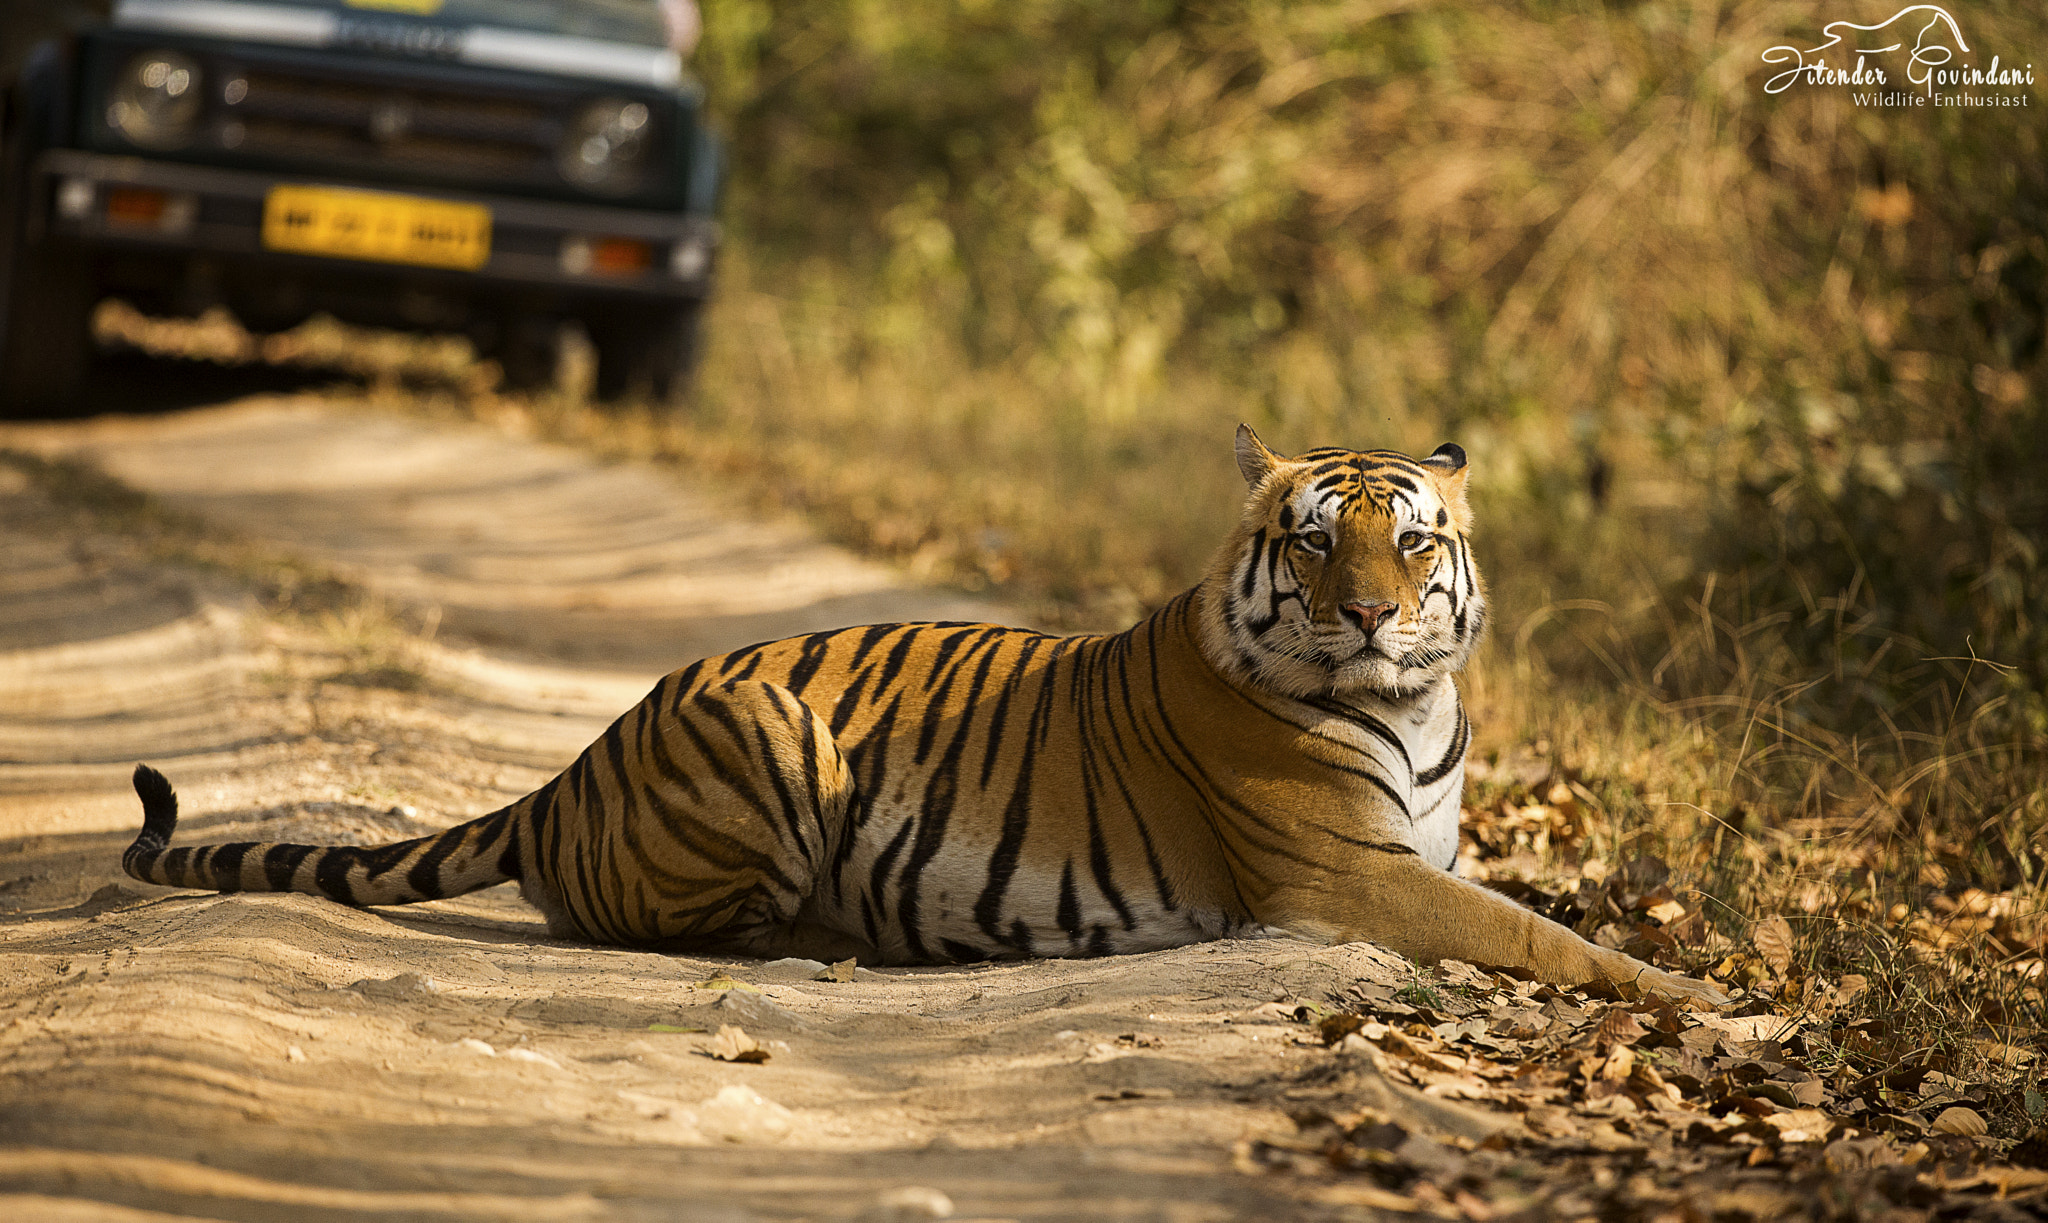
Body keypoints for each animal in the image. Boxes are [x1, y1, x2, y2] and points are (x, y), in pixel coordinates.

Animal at [119, 426, 1728, 999]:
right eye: (1318, 541)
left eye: (1412, 538)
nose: (1375, 615)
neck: (1412, 699)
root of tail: (578, 758)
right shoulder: (1347, 875)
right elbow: (1545, 936)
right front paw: (1711, 1006)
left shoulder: (1424, 855)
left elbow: (1535, 908)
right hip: (768, 731)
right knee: (669, 928)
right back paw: (841, 942)